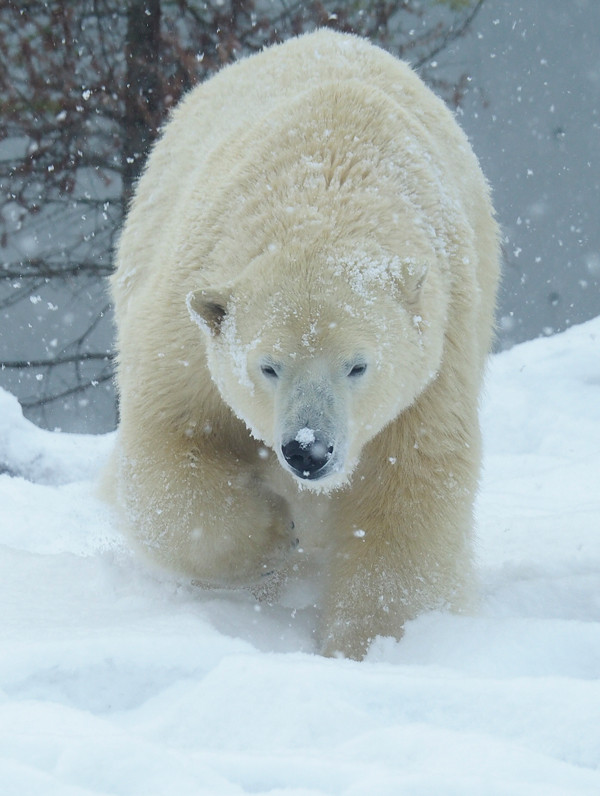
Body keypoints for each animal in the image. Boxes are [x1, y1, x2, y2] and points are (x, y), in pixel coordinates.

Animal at [105, 29, 500, 660]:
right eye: (268, 366)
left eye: (357, 366)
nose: (308, 451)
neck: (326, 181)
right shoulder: (187, 317)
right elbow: (172, 443)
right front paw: (273, 534)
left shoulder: (441, 351)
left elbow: (410, 480)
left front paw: (369, 646)